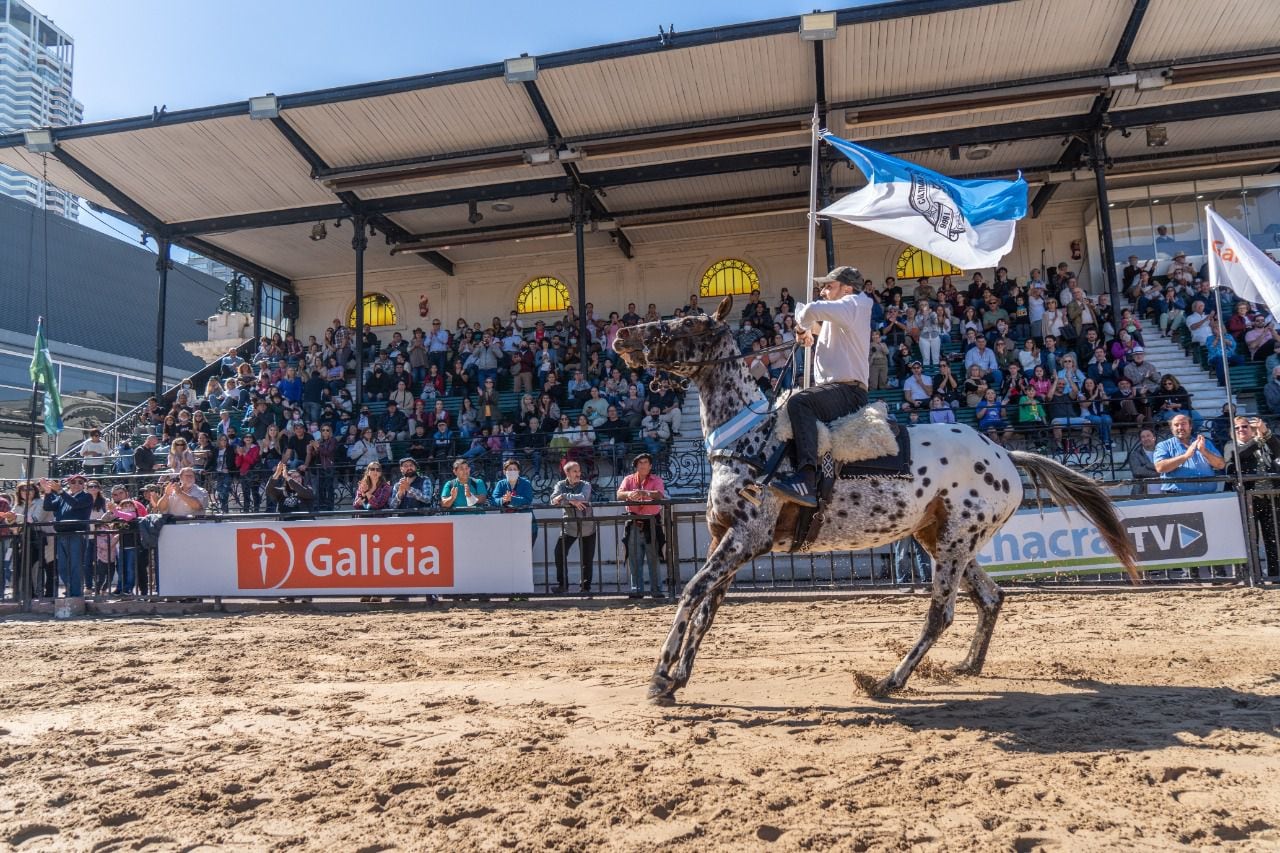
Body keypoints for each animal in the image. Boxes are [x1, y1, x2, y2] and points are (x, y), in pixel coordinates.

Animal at [611, 295, 1141, 701]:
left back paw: (890, 680)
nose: (622, 335)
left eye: (685, 323)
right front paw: (678, 678)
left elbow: (692, 591)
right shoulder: (725, 538)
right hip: (943, 540)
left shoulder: (745, 540)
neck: (747, 438)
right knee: (990, 598)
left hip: (953, 545)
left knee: (941, 614)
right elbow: (707, 608)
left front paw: (660, 674)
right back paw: (967, 665)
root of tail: (1004, 454)